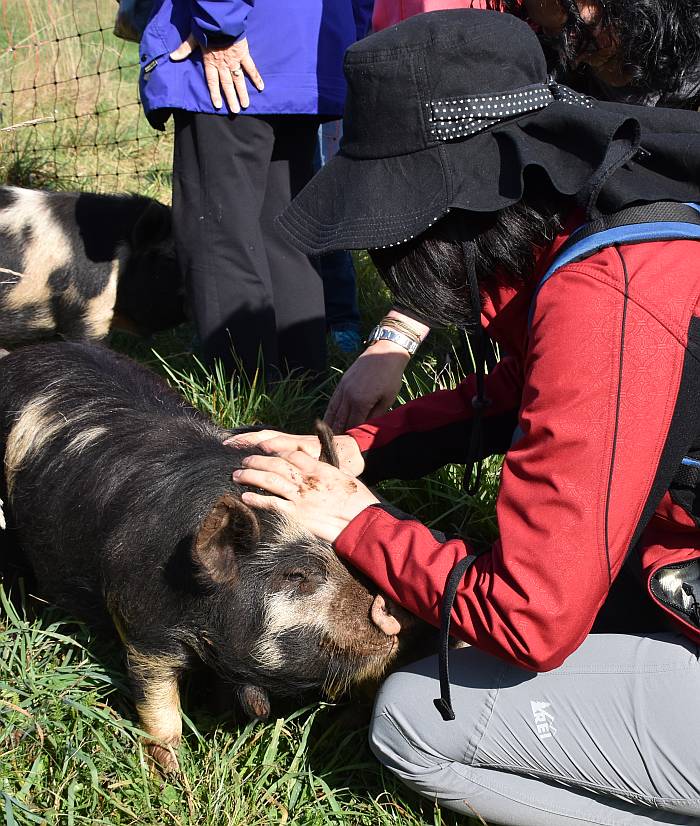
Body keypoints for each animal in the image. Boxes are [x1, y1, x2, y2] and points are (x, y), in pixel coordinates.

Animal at [0, 340, 410, 768]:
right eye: (296, 575)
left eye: (352, 553)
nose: (390, 609)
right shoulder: (143, 626)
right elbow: (160, 712)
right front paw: (170, 775)